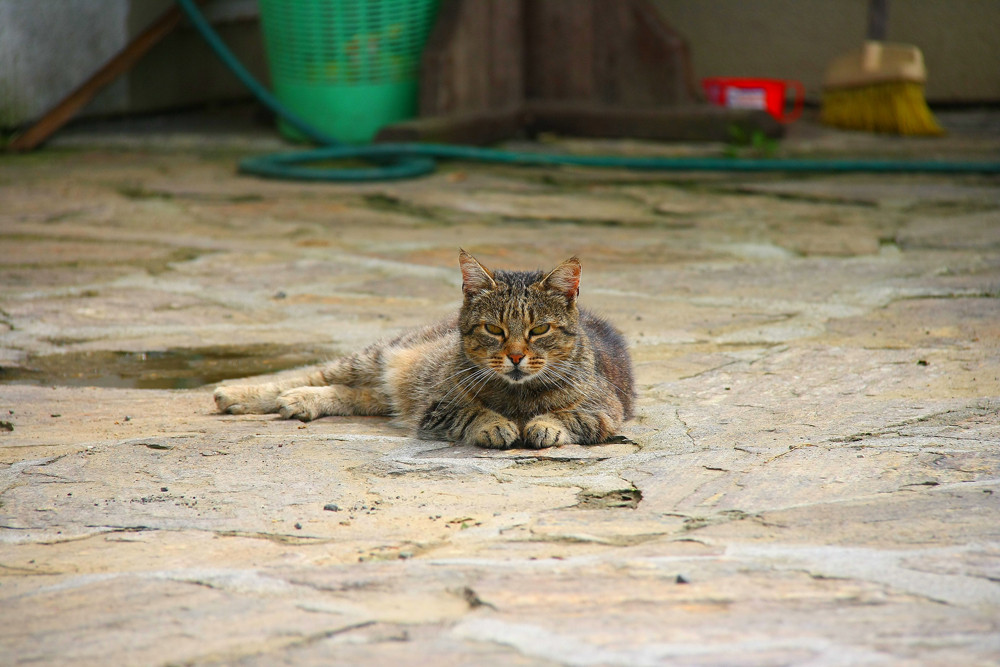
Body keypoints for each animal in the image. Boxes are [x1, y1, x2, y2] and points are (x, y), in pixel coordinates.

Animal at [213, 250, 632, 448]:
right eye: (494, 329)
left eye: (540, 329)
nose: (515, 357)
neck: (517, 395)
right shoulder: (437, 406)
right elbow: (472, 413)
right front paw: (496, 424)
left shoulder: (607, 411)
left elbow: (572, 416)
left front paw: (544, 425)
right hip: (379, 355)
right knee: (310, 375)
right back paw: (241, 394)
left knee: (357, 394)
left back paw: (302, 401)